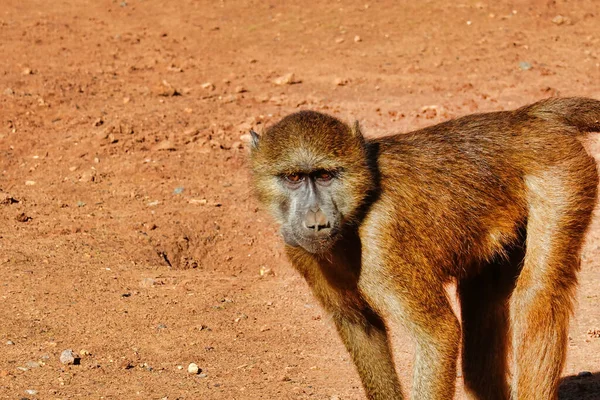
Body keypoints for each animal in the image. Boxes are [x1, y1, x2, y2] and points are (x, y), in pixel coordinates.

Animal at [247, 97, 600, 400]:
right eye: (293, 177)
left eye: (325, 175)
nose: (316, 223)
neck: (358, 208)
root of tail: (526, 117)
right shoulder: (297, 248)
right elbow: (361, 326)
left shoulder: (383, 241)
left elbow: (439, 334)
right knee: (484, 306)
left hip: (562, 174)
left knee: (537, 296)